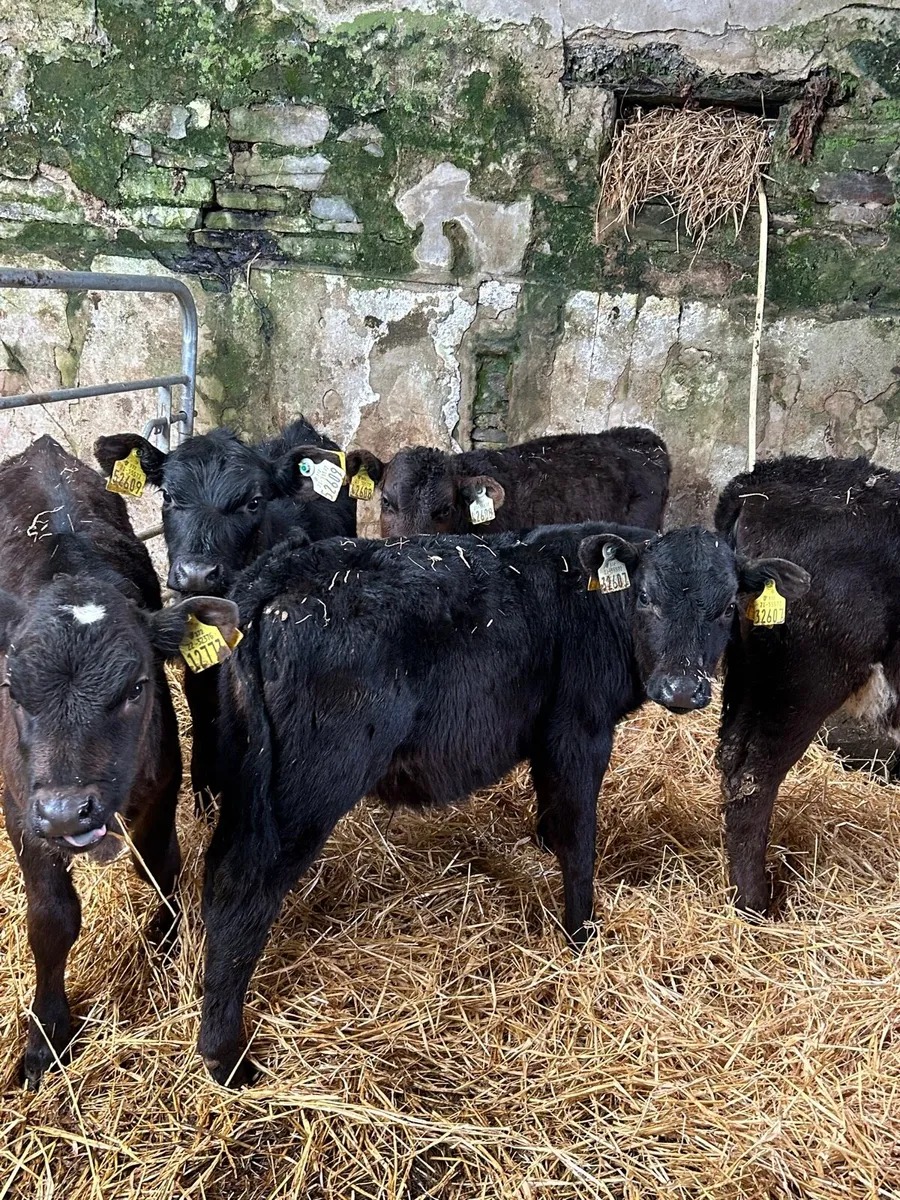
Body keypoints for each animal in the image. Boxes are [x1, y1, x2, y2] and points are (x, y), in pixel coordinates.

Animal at [0, 436, 237, 1089]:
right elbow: (51, 920)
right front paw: (44, 1036)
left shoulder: (161, 786)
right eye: (11, 689)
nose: (66, 812)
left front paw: (164, 941)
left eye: (136, 687)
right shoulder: (21, 809)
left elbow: (159, 865)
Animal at [197, 521, 806, 1084]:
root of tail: (275, 576)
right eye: (646, 597)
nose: (681, 688)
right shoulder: (578, 730)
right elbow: (579, 839)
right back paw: (226, 1056)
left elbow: (554, 816)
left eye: (726, 608)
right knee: (240, 886)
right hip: (307, 785)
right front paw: (582, 934)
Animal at [714, 454, 900, 916]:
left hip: (750, 680)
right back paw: (756, 907)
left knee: (731, 760)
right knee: (753, 782)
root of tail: (757, 484)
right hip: (805, 684)